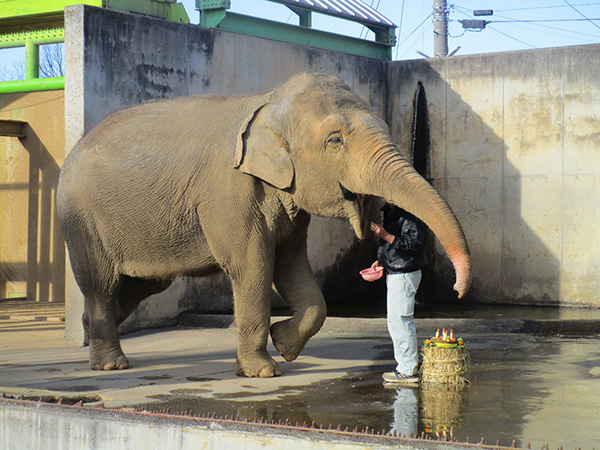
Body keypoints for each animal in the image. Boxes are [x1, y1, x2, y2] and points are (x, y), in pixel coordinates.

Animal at [58, 73, 472, 376]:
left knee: (140, 285)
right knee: (101, 283)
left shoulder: (289, 203)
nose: (458, 290)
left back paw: (89, 332)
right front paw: (262, 372)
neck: (268, 102)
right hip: (81, 219)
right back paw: (110, 364)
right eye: (335, 140)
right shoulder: (228, 194)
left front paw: (285, 347)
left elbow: (293, 269)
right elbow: (253, 265)